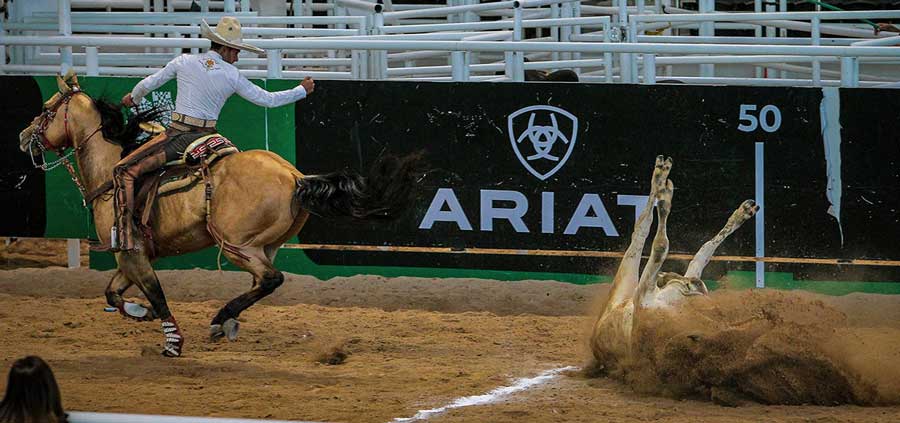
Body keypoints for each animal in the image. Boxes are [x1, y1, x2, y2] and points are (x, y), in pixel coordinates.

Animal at [19, 73, 424, 358]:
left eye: (47, 109)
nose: (24, 136)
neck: (110, 170)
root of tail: (295, 177)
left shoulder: (131, 254)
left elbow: (156, 296)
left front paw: (171, 342)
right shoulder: (132, 256)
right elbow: (113, 293)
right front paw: (140, 312)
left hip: (236, 245)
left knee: (271, 278)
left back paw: (219, 319)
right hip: (263, 245)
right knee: (263, 281)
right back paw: (226, 320)